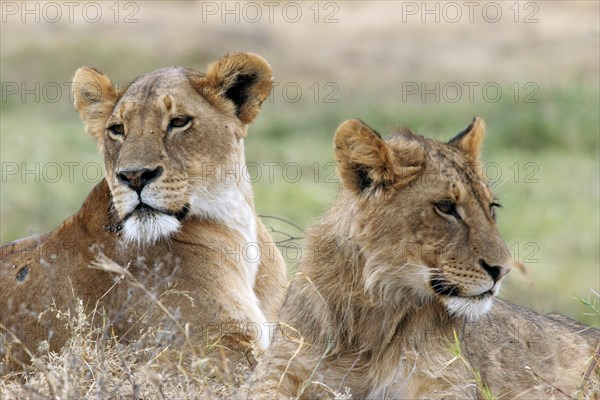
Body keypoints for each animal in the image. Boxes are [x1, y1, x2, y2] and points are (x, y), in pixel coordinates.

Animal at [240, 119, 600, 400]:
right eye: (446, 207)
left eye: (491, 208)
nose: (502, 271)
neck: (373, 312)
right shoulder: (278, 370)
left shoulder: (447, 383)